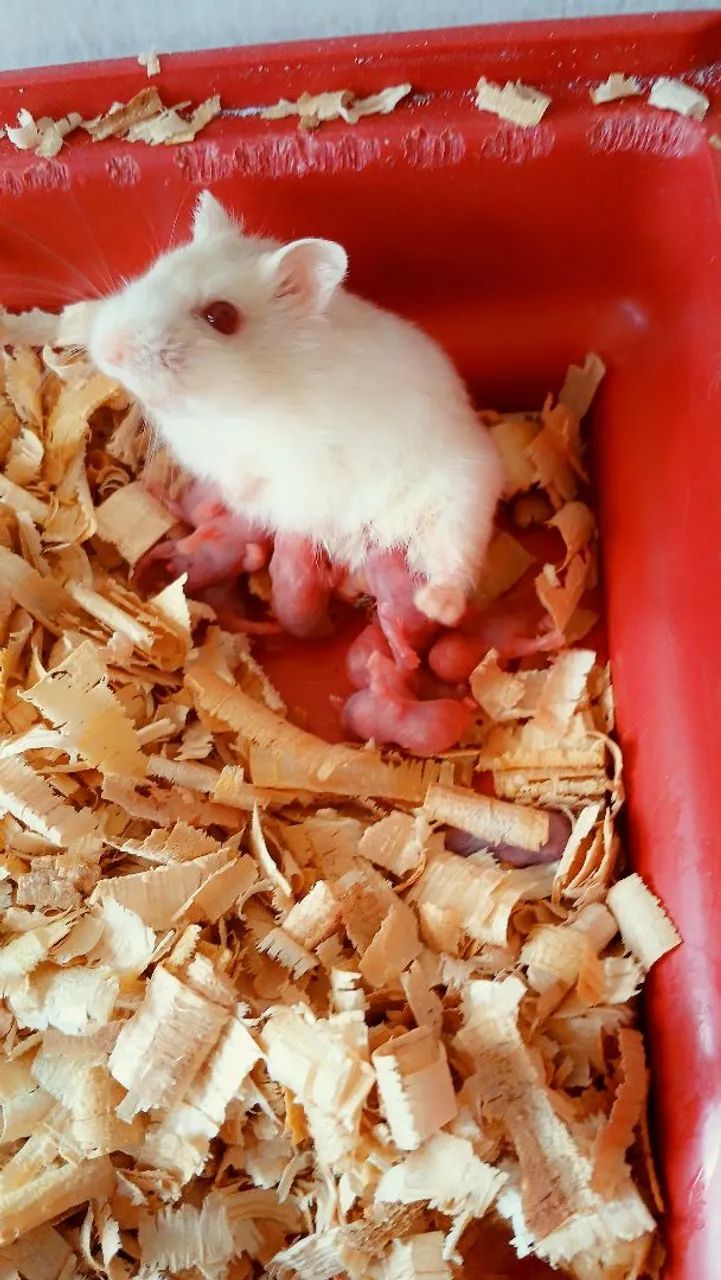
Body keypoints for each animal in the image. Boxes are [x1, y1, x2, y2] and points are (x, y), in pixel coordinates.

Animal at [88, 190, 504, 626]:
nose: (108, 350)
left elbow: (261, 472)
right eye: (155, 269)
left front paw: (240, 495)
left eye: (221, 316)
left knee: (454, 563)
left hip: (459, 499)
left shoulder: (297, 453)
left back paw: (435, 605)